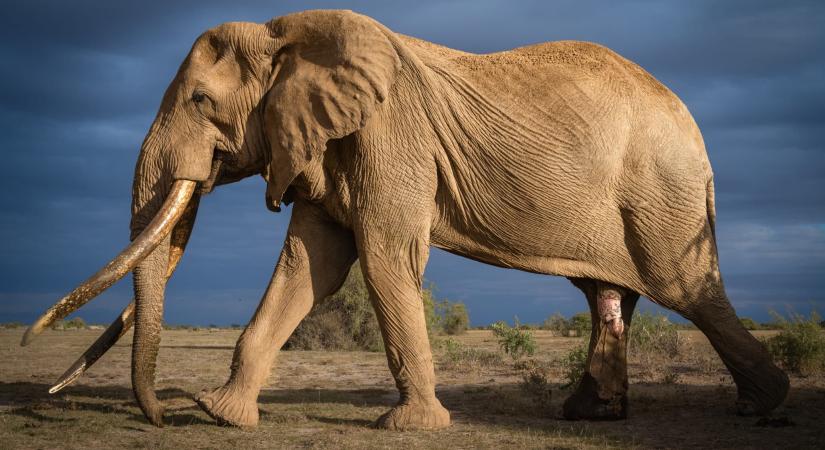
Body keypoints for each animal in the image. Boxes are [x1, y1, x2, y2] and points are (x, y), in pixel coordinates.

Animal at [22, 10, 788, 428]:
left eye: (202, 103)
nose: (158, 415)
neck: (287, 35)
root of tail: (689, 118)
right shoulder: (324, 142)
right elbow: (311, 266)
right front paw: (218, 415)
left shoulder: (392, 134)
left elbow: (385, 255)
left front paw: (411, 426)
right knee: (609, 294)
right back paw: (587, 416)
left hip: (663, 191)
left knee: (689, 291)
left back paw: (764, 406)